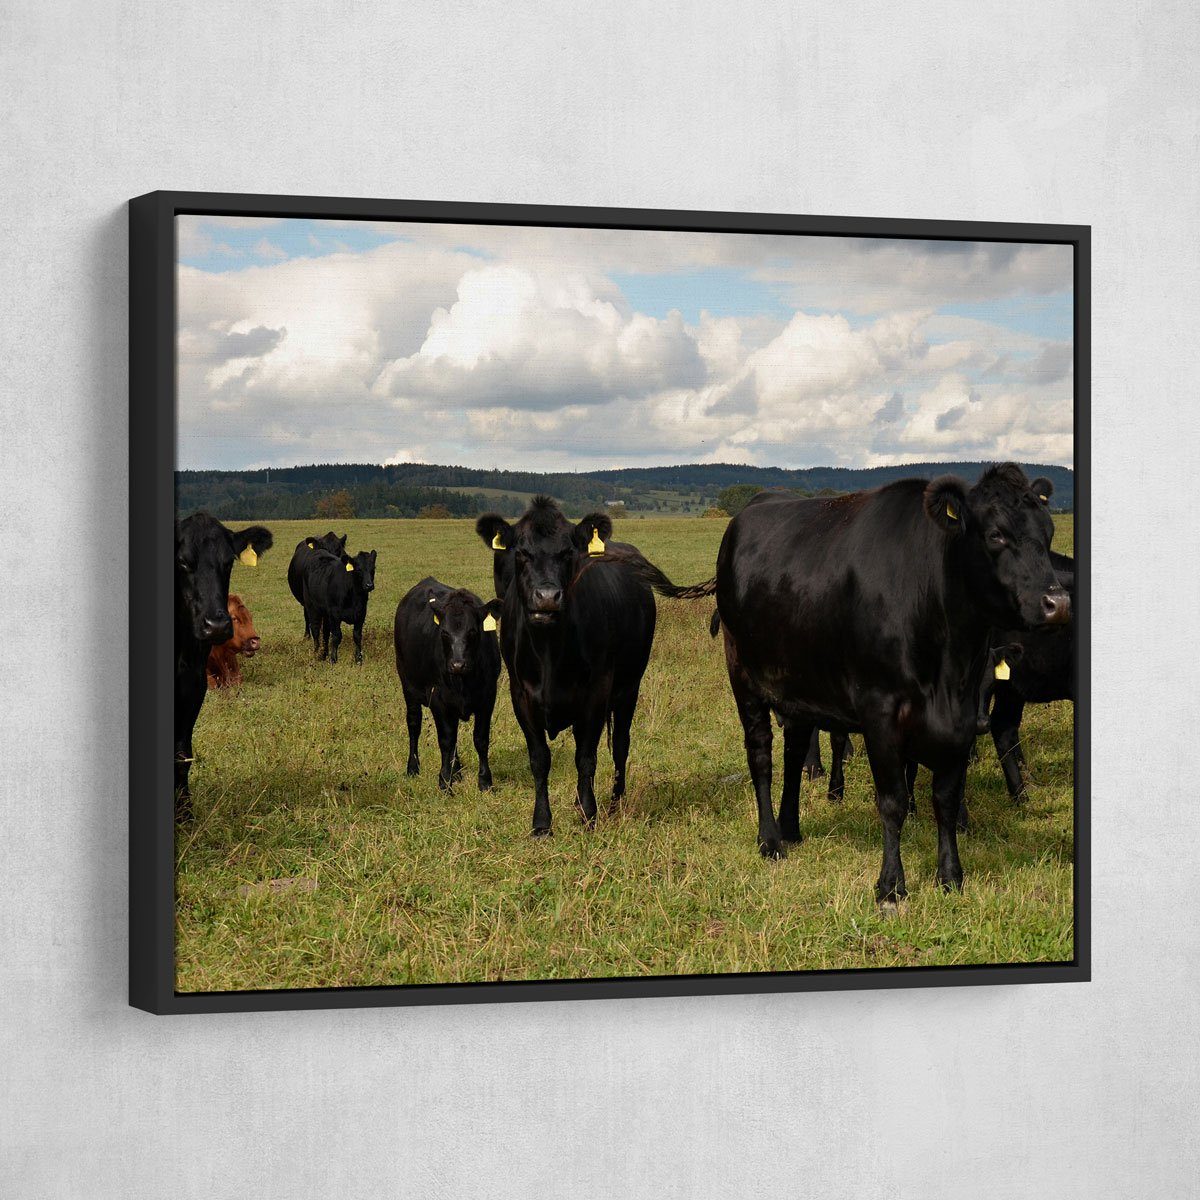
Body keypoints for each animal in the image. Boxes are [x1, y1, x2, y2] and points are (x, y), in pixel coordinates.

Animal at [175, 513, 272, 818]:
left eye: (228, 562)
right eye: (183, 561)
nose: (216, 625)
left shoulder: (193, 688)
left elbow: (182, 754)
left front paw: (185, 815)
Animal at [394, 578, 503, 791]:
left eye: (472, 631)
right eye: (444, 632)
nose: (457, 664)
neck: (464, 682)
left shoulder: (487, 697)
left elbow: (480, 739)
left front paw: (485, 781)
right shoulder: (438, 699)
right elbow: (445, 740)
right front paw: (444, 781)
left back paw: (457, 771)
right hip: (408, 686)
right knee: (414, 725)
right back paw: (413, 767)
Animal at [476, 497, 657, 836]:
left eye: (567, 553)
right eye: (521, 552)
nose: (547, 597)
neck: (549, 651)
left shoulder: (596, 693)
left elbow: (586, 757)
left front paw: (589, 814)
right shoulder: (521, 695)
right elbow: (539, 759)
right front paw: (542, 823)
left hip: (629, 686)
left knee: (620, 744)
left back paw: (615, 803)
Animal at [713, 462, 1070, 907]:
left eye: (1048, 532)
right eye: (996, 534)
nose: (1058, 604)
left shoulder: (964, 715)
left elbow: (946, 798)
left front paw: (951, 876)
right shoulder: (879, 711)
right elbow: (893, 801)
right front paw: (891, 884)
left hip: (798, 688)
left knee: (795, 754)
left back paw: (791, 828)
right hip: (744, 677)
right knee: (761, 755)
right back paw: (770, 840)